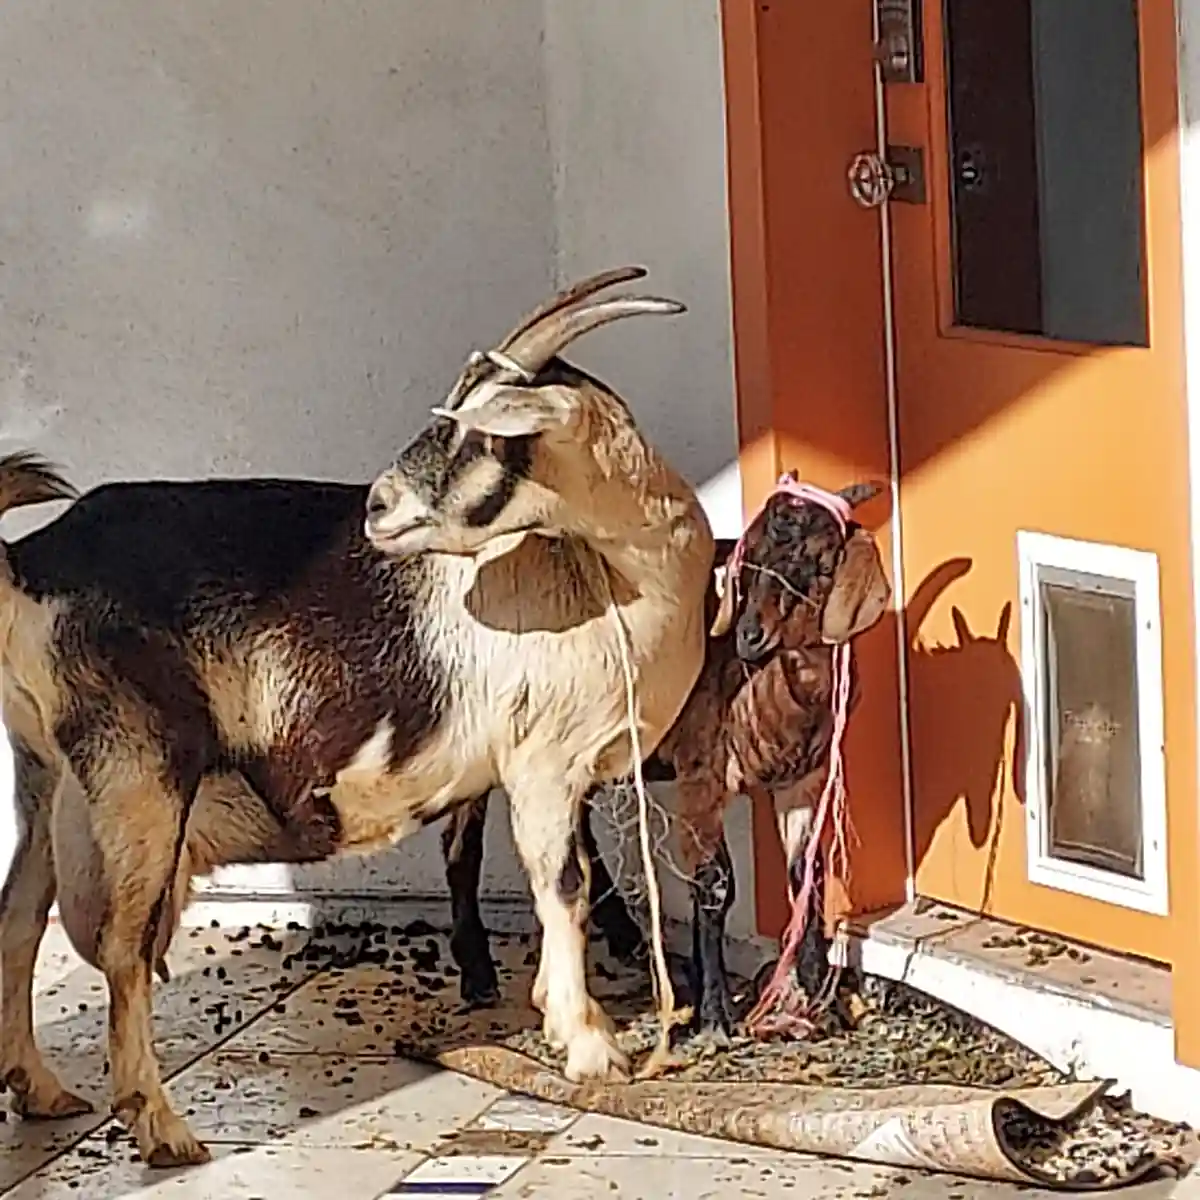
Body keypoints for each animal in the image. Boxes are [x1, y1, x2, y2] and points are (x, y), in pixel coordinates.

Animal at [0, 267, 715, 1168]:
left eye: (480, 430)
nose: (378, 505)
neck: (609, 573)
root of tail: (25, 562)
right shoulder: (542, 765)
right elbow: (565, 887)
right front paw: (590, 1047)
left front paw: (552, 1015)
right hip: (137, 775)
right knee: (124, 947)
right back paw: (163, 1129)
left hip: (45, 775)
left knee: (19, 916)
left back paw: (41, 1090)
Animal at [440, 486, 887, 1039]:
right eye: (751, 558)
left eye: (824, 565)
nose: (750, 636)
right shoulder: (704, 772)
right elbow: (715, 883)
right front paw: (715, 1012)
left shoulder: (803, 779)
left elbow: (807, 873)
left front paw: (818, 995)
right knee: (462, 844)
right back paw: (477, 971)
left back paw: (623, 936)